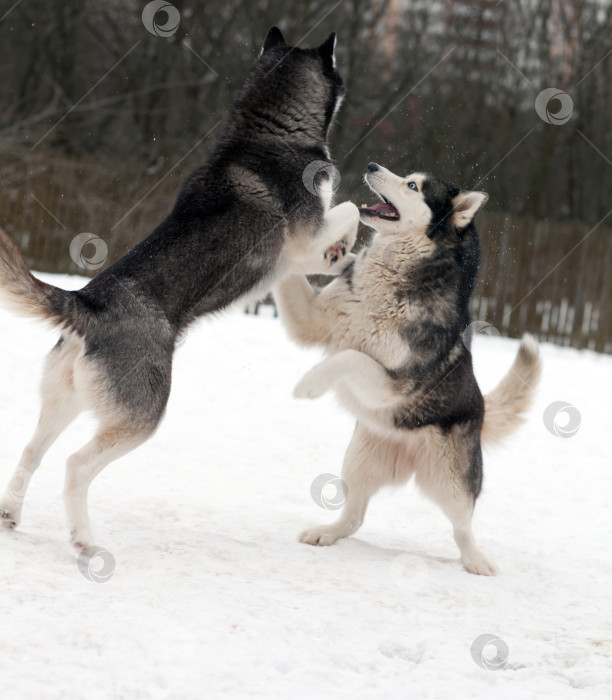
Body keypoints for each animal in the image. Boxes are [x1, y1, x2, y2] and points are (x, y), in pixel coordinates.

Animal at [274, 163, 544, 576]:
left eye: (413, 185)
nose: (372, 166)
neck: (393, 278)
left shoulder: (393, 383)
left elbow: (349, 357)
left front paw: (310, 383)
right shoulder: (312, 320)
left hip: (453, 482)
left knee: (463, 527)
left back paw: (477, 561)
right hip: (358, 460)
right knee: (354, 516)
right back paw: (327, 533)